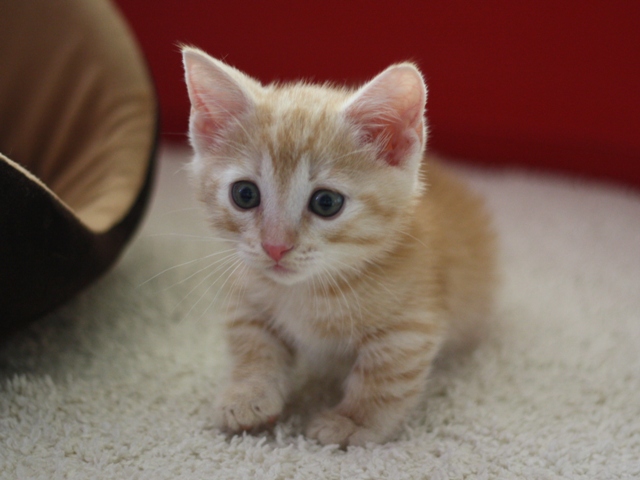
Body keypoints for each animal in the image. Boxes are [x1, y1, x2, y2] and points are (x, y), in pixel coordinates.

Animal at [182, 47, 498, 446]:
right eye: (245, 194)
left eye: (326, 203)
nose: (274, 247)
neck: (309, 291)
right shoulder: (246, 291)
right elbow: (251, 343)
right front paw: (247, 393)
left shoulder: (411, 327)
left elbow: (385, 378)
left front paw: (352, 421)